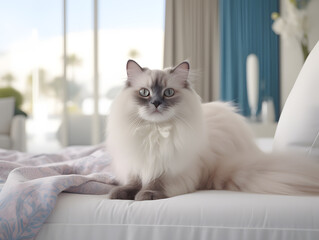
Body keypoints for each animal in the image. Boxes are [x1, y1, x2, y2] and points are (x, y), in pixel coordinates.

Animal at [107, 60, 319, 201]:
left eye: (168, 93)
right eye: (145, 93)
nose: (156, 103)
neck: (155, 131)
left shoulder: (171, 169)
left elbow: (156, 183)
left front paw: (145, 195)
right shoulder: (135, 163)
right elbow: (133, 182)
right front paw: (120, 194)